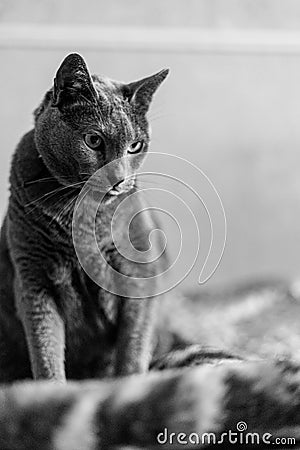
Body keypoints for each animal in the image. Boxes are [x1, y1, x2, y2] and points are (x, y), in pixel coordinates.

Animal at [0, 53, 169, 384]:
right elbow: (45, 347)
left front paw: (129, 384)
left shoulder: (141, 272)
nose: (119, 179)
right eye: (93, 140)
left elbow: (133, 343)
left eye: (135, 146)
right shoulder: (32, 277)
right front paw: (51, 389)